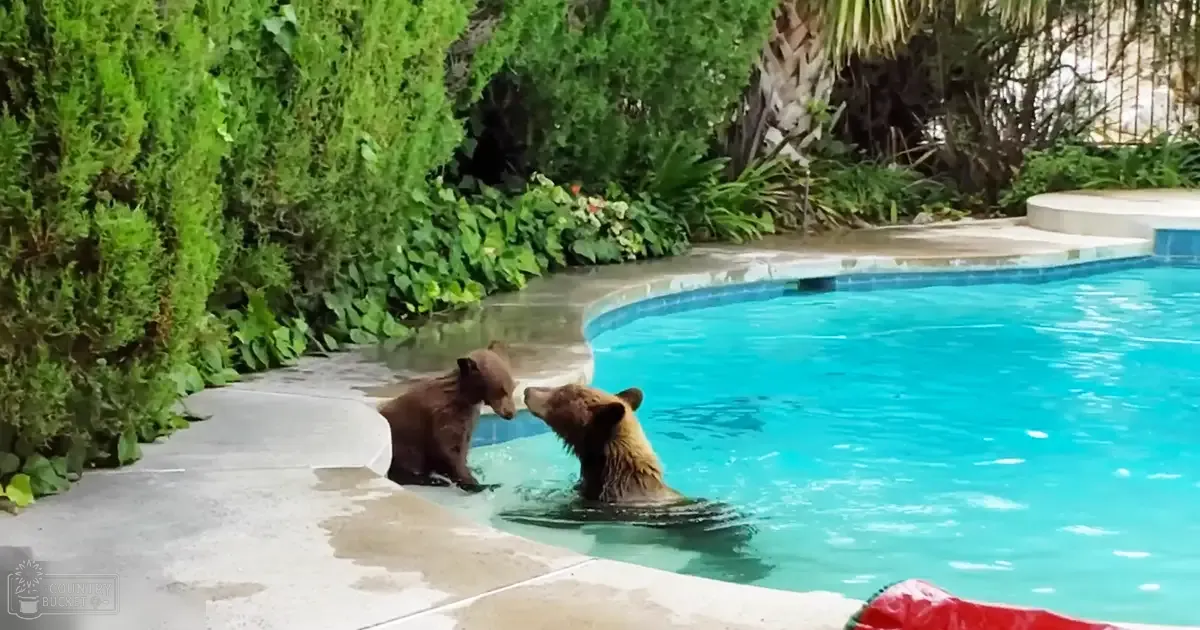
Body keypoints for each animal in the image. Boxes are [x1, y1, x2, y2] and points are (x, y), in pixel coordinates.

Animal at [378, 341, 517, 492]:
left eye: (512, 387)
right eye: (501, 390)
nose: (510, 414)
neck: (464, 396)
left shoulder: (468, 418)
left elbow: (462, 446)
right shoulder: (444, 415)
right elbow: (449, 449)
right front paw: (478, 483)